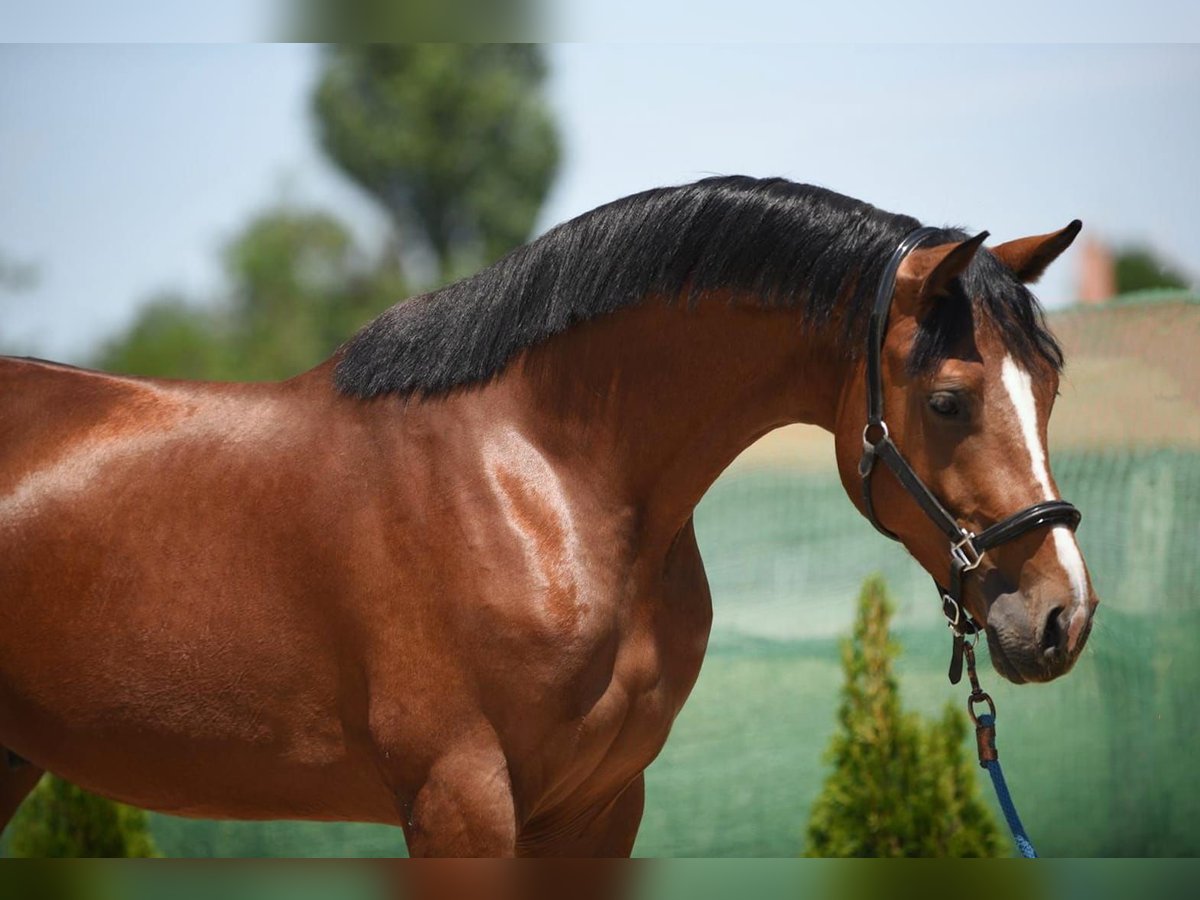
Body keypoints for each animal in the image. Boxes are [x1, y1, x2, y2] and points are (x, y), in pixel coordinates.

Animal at [2, 177, 1099, 859]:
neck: (541, 481)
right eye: (949, 401)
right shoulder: (460, 806)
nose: (1063, 617)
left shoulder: (598, 807)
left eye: (1050, 386)